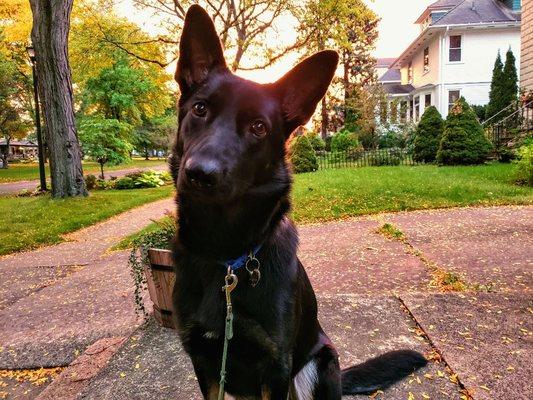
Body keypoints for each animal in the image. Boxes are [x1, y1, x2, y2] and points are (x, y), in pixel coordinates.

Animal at [170, 7, 424, 400]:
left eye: (259, 127)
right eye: (199, 109)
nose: (200, 174)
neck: (226, 256)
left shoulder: (276, 367)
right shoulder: (204, 363)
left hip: (318, 364)